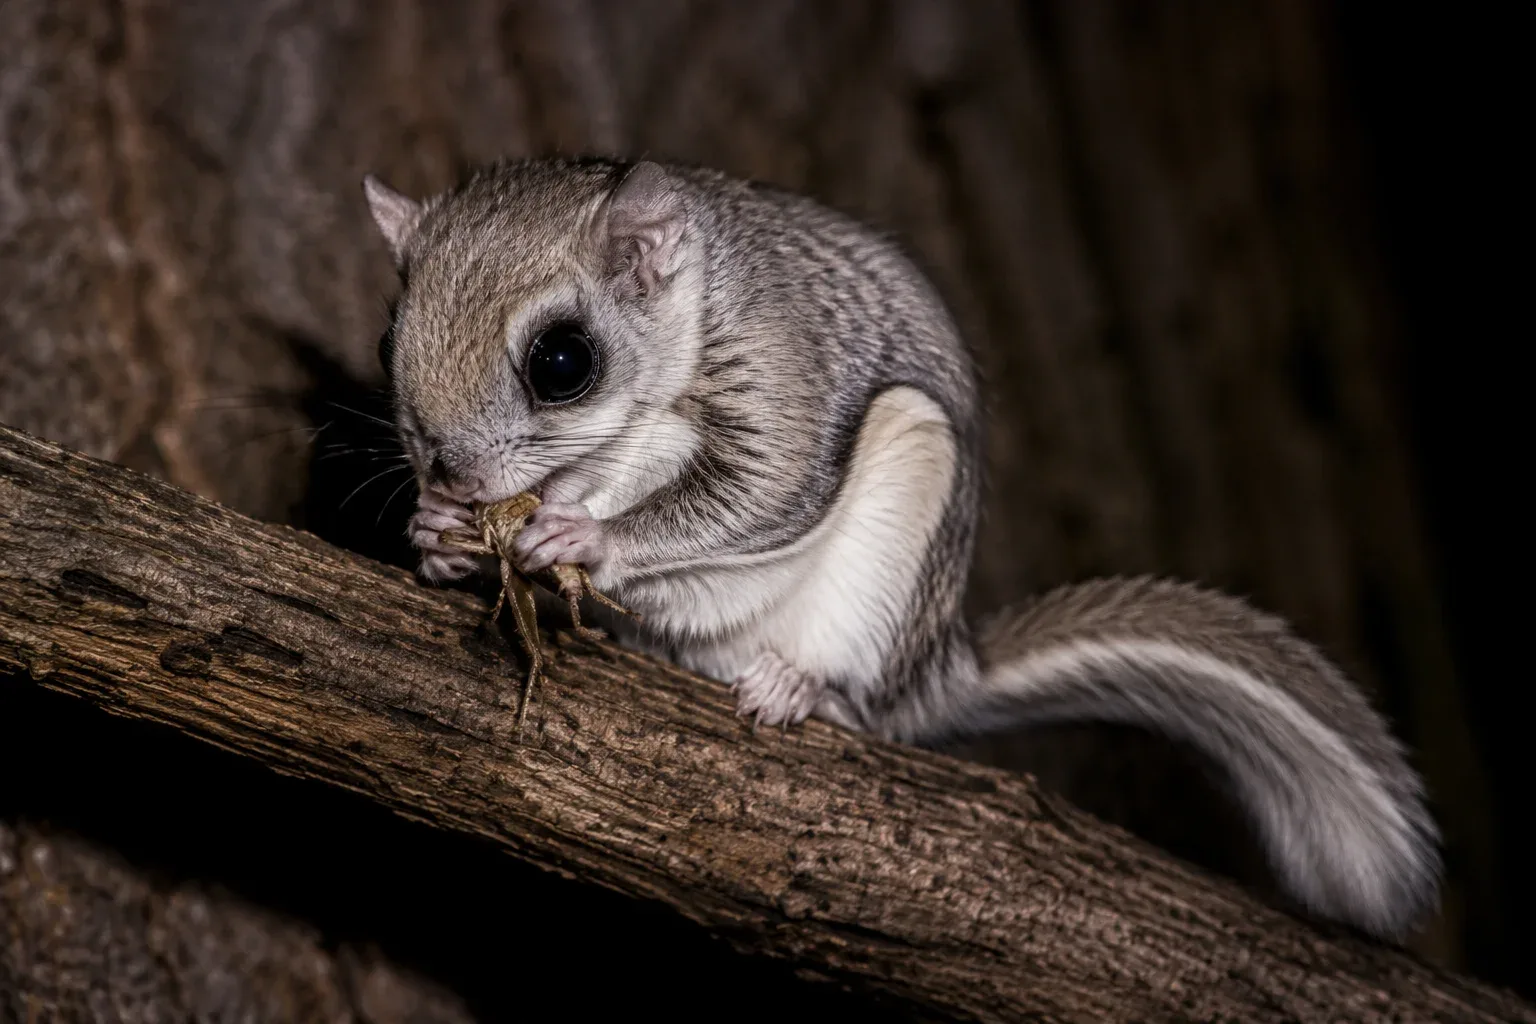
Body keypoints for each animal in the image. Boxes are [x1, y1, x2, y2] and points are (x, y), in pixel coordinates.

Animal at [361, 157, 1440, 940]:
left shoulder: (779, 374)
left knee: (855, 695)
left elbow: (752, 493)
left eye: (562, 362)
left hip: (896, 531)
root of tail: (934, 669)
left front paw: (581, 533)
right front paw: (439, 540)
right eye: (385, 340)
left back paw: (797, 686)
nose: (453, 476)